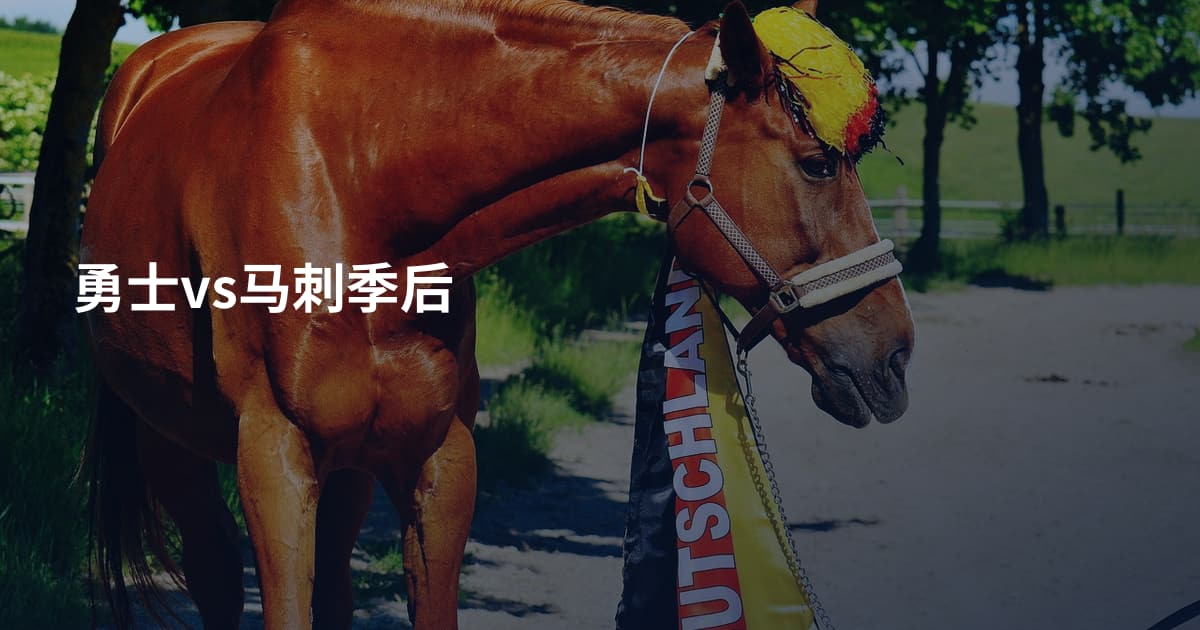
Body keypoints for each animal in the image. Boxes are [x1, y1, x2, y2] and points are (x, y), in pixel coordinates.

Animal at [80, 1, 915, 627]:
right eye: (817, 163)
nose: (895, 354)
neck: (359, 179)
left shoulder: (440, 458)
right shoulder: (275, 460)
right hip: (170, 441)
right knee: (218, 575)